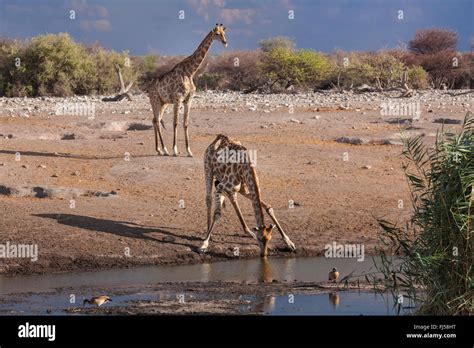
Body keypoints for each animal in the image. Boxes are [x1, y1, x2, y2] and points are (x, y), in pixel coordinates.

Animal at [149, 23, 229, 156]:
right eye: (217, 34)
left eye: (224, 33)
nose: (225, 42)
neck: (190, 72)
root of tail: (148, 89)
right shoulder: (178, 98)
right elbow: (175, 123)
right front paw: (175, 150)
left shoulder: (188, 100)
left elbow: (186, 123)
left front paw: (189, 151)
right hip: (155, 101)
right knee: (157, 121)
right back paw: (165, 150)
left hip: (163, 103)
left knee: (155, 120)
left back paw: (159, 150)